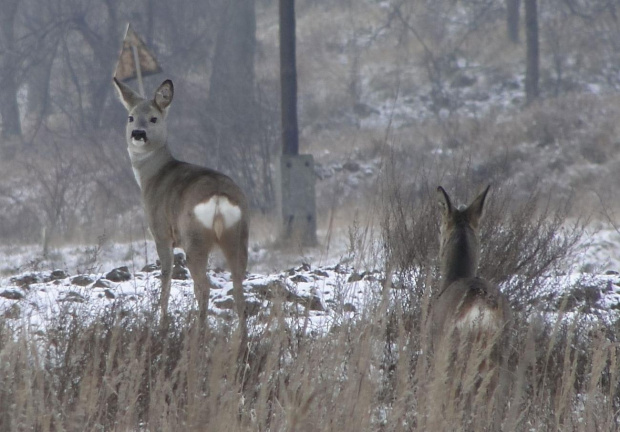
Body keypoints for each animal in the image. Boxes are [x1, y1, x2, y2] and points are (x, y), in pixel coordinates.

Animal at [112, 77, 248, 330]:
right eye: (130, 117)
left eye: (154, 118)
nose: (138, 133)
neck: (153, 176)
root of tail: (218, 196)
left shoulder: (161, 232)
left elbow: (165, 276)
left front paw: (162, 322)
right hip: (238, 235)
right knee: (238, 289)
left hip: (195, 239)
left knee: (204, 288)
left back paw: (198, 332)